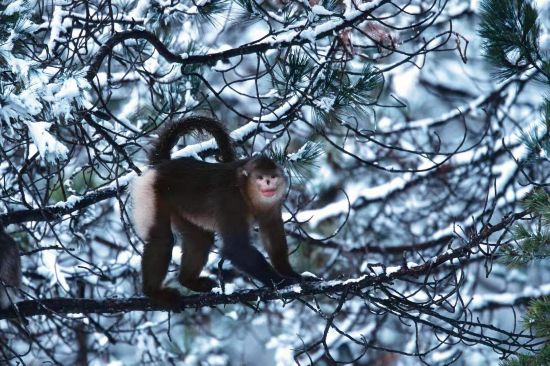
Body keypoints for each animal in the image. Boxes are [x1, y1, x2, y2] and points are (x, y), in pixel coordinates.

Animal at [132, 116, 308, 304]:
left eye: (273, 177)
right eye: (260, 178)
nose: (268, 182)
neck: (246, 192)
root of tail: (160, 165)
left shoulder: (272, 204)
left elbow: (272, 236)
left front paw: (292, 274)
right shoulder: (231, 201)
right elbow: (236, 248)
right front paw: (282, 282)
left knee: (200, 238)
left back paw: (188, 281)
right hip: (151, 192)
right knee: (162, 239)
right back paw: (153, 292)